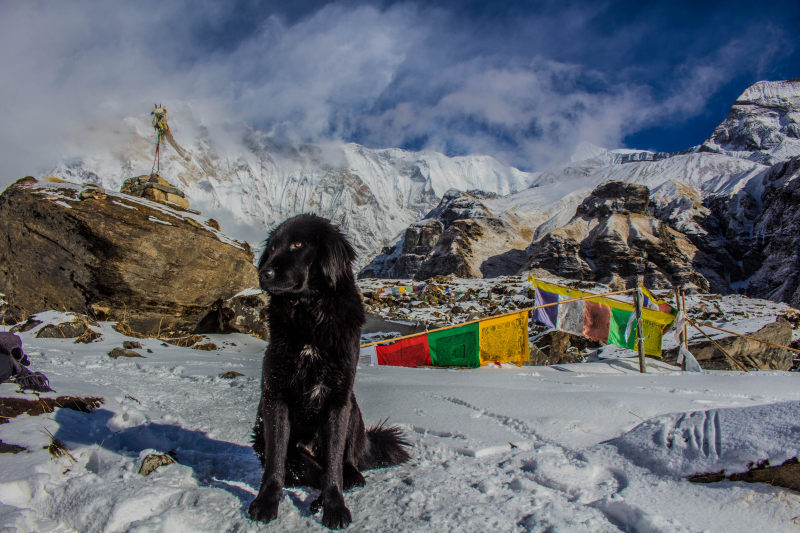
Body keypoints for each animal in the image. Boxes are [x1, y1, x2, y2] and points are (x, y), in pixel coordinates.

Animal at [250, 213, 412, 528]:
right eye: (272, 247)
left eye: (298, 244)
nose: (263, 273)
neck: (309, 313)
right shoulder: (275, 398)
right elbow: (277, 460)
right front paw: (266, 502)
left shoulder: (337, 399)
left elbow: (334, 461)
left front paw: (334, 506)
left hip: (353, 406)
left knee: (347, 461)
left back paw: (347, 479)